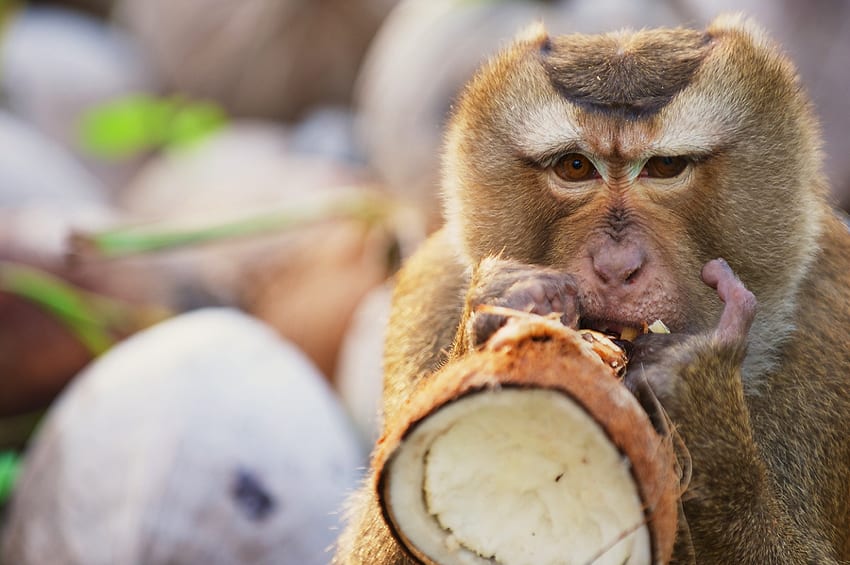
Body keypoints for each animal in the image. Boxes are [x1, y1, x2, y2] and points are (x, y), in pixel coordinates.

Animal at [334, 14, 848, 564]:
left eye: (665, 167)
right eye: (575, 166)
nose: (616, 266)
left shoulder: (830, 324)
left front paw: (696, 389)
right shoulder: (429, 291)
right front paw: (505, 306)